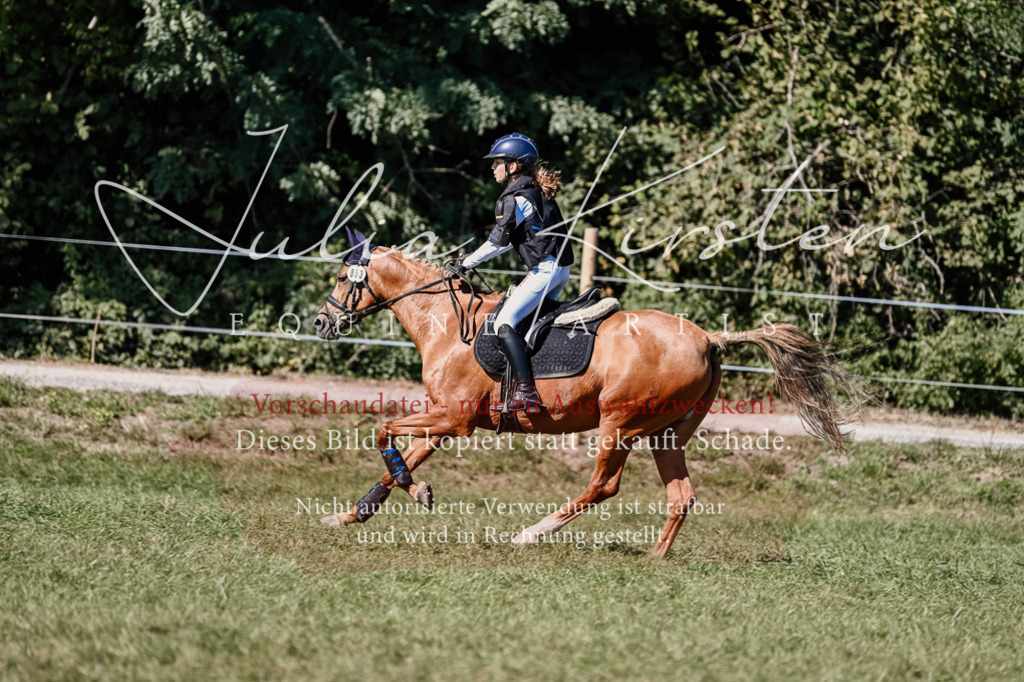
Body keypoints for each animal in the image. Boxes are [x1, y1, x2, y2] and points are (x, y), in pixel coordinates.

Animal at [313, 232, 864, 556]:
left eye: (342, 277)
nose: (321, 323)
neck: (447, 324)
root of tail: (709, 338)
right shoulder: (444, 419)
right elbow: (397, 462)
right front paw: (354, 513)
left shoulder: (454, 418)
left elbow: (384, 432)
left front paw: (415, 491)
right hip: (666, 435)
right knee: (681, 495)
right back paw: (655, 559)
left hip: (619, 424)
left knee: (604, 487)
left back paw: (531, 534)